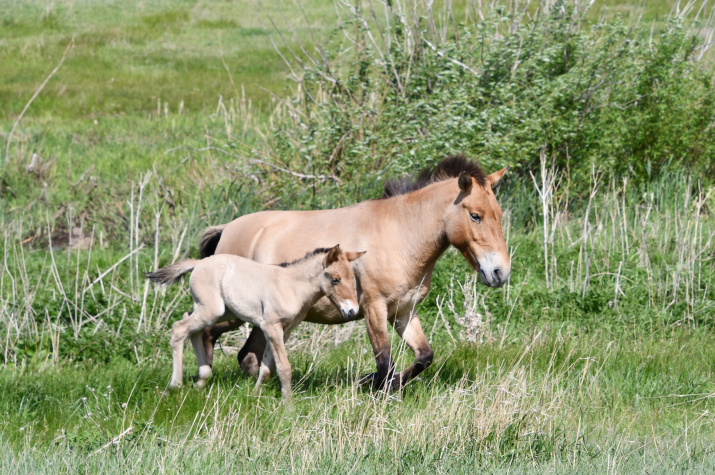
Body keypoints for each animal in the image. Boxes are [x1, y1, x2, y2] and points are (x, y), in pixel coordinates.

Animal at [145, 244, 364, 400]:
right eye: (335, 279)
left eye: (352, 278)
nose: (352, 311)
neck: (291, 286)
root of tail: (198, 263)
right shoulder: (271, 327)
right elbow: (284, 367)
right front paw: (288, 405)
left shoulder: (285, 330)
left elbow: (267, 365)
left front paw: (255, 394)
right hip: (211, 311)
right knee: (179, 328)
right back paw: (176, 384)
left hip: (218, 312)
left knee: (191, 326)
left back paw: (201, 380)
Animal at [199, 156, 510, 390]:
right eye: (475, 216)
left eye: (499, 215)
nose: (500, 272)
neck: (400, 235)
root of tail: (226, 230)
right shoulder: (374, 308)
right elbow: (384, 361)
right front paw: (377, 387)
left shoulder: (403, 312)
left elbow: (424, 356)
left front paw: (372, 382)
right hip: (233, 313)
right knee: (208, 333)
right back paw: (203, 380)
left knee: (248, 356)